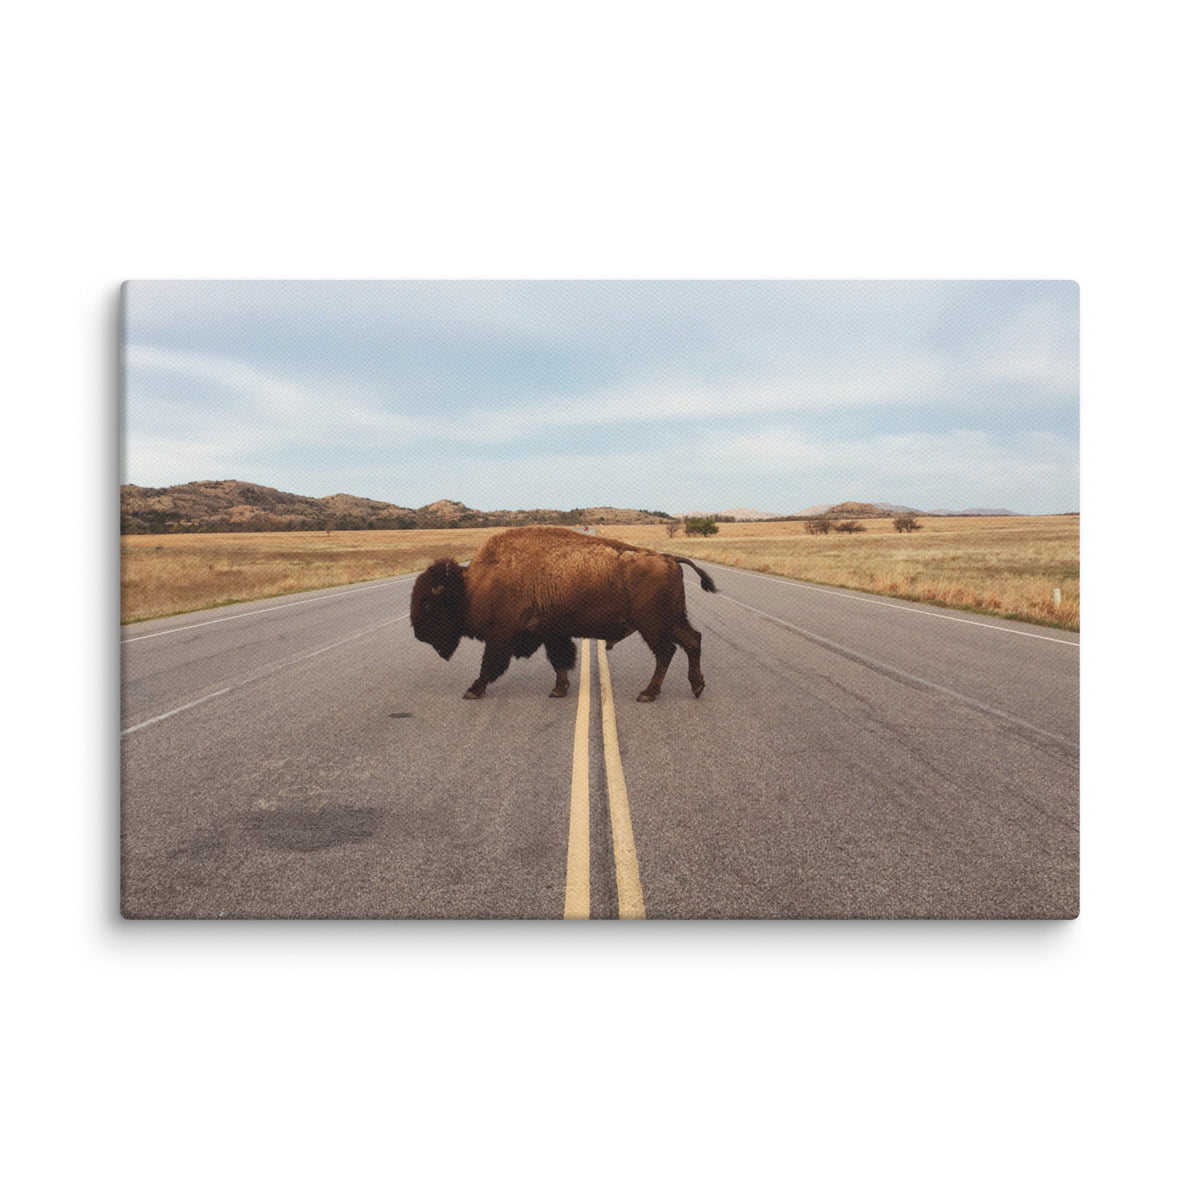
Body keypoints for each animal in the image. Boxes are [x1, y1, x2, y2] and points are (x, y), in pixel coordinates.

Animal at [410, 526, 717, 702]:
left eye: (426, 604)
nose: (417, 634)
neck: (474, 585)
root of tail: (668, 558)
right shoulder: (550, 633)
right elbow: (559, 660)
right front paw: (559, 689)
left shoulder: (501, 636)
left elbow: (489, 665)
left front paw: (472, 690)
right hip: (672, 620)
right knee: (692, 641)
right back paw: (697, 687)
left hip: (652, 626)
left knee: (666, 652)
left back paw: (647, 693)